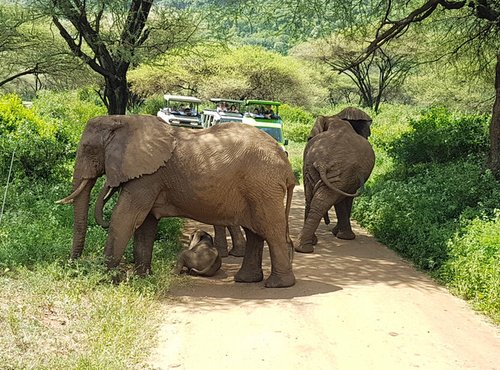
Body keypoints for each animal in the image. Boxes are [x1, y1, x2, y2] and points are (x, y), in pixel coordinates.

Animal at [56, 114, 294, 288]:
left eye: (89, 150)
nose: (72, 266)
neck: (124, 120)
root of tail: (287, 165)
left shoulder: (148, 177)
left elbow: (125, 218)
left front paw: (104, 281)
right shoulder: (149, 177)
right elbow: (146, 225)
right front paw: (142, 278)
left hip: (263, 186)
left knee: (271, 230)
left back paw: (278, 285)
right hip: (258, 189)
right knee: (255, 232)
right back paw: (246, 280)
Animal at [294, 116, 374, 254]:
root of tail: (322, 162)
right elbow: (345, 199)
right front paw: (342, 235)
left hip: (311, 168)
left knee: (312, 200)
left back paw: (304, 247)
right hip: (342, 171)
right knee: (328, 199)